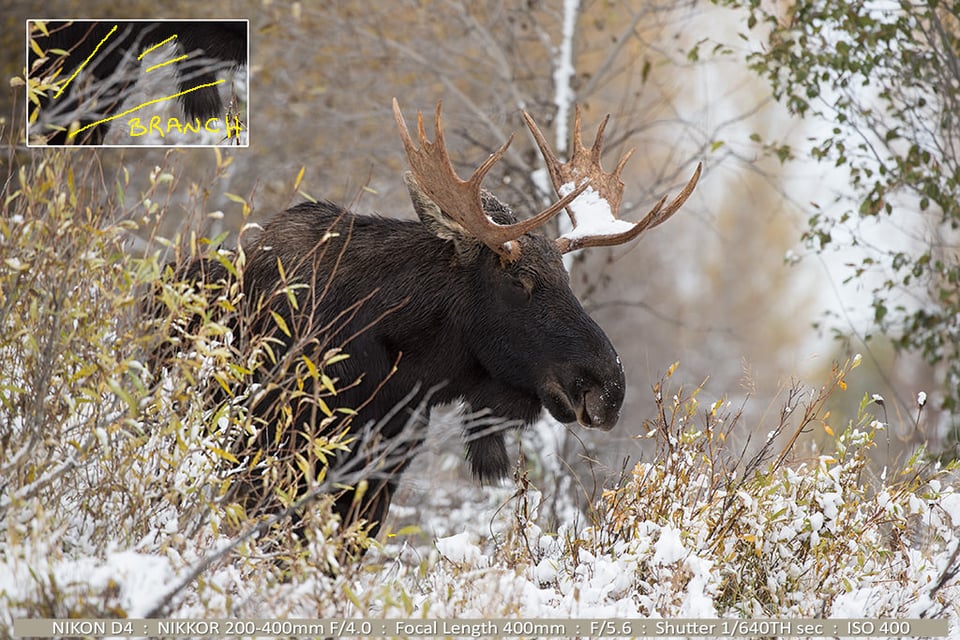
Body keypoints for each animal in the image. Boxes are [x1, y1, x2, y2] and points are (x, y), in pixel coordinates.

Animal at [171, 100, 696, 540]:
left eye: (565, 278)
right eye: (519, 281)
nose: (609, 388)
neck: (397, 368)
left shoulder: (383, 469)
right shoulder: (273, 453)